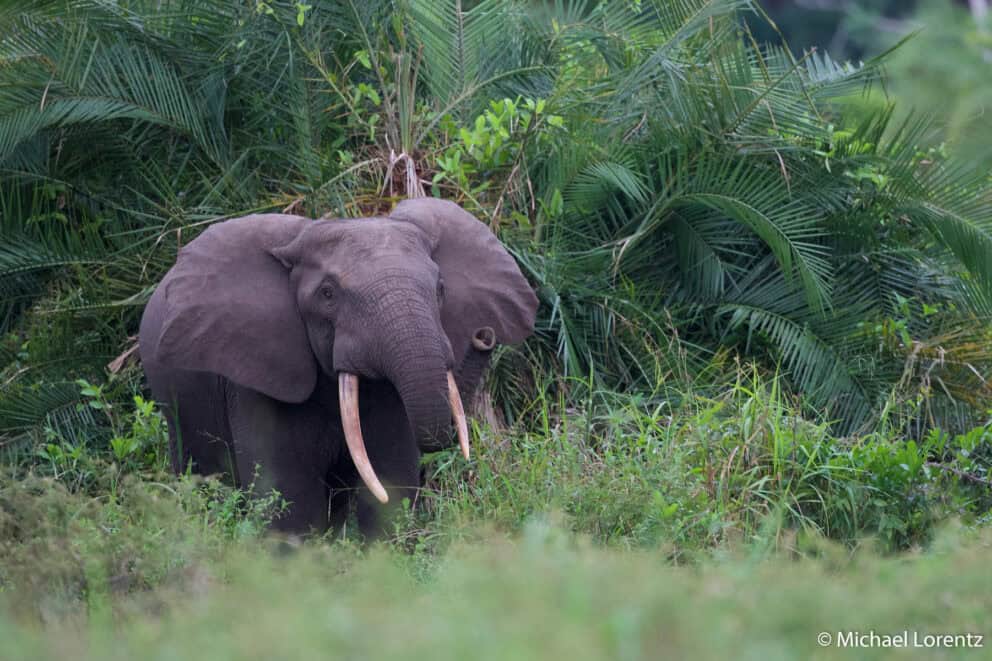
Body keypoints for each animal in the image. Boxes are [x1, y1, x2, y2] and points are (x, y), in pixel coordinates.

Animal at [138, 198, 538, 536]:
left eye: (440, 288)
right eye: (327, 294)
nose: (483, 334)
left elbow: (391, 481)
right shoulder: (255, 373)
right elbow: (288, 496)